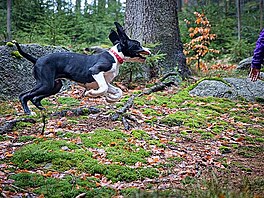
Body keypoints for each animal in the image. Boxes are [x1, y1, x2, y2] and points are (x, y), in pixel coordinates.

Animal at [14, 21, 151, 115]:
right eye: (138, 45)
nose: (149, 49)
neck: (115, 57)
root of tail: (37, 60)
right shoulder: (95, 71)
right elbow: (104, 88)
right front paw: (92, 94)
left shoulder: (105, 81)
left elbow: (118, 91)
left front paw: (111, 99)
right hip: (46, 84)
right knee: (24, 95)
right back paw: (28, 112)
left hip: (55, 86)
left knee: (35, 98)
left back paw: (42, 109)